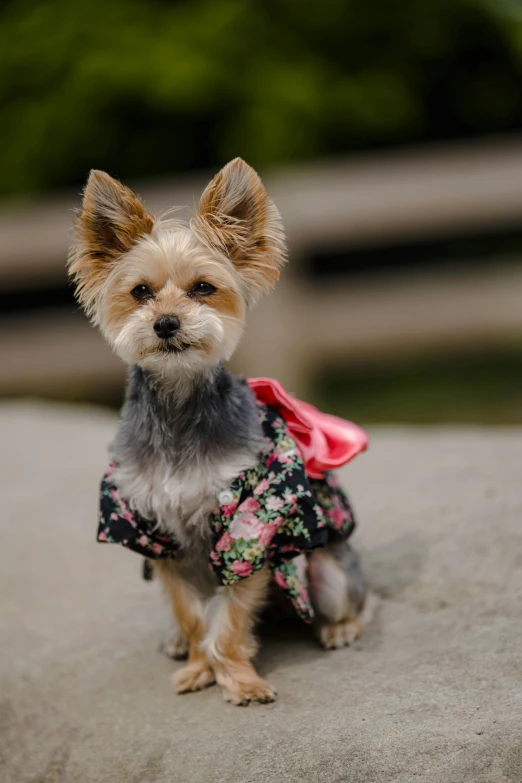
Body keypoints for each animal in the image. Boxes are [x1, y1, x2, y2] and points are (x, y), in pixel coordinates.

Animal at [68, 159, 374, 704]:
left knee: (359, 599)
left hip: (329, 570)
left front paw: (238, 678)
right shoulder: (151, 530)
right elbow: (192, 615)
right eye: (140, 292)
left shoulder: (252, 525)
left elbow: (231, 618)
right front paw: (198, 665)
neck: (178, 411)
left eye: (203, 288)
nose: (166, 323)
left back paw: (339, 628)